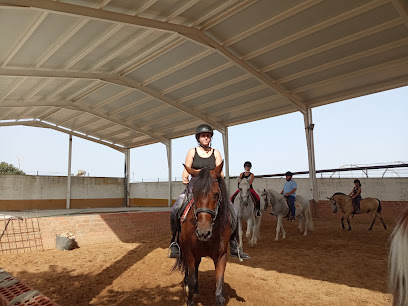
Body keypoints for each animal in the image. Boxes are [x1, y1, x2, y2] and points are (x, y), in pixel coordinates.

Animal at [173, 161, 233, 304]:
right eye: (194, 193)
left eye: (216, 194)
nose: (203, 232)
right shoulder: (189, 252)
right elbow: (191, 279)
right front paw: (189, 299)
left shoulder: (221, 256)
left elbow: (219, 289)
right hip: (184, 249)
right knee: (189, 270)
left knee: (196, 266)